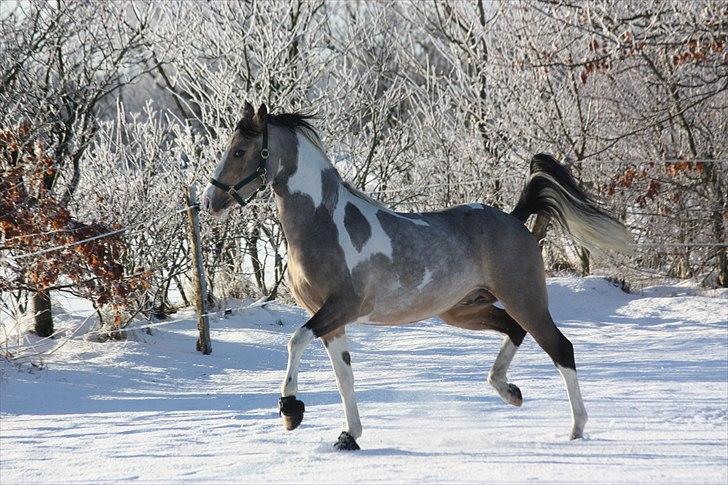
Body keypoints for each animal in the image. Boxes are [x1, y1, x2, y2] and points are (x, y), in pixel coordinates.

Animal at [203, 102, 632, 450]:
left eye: (240, 151)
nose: (210, 202)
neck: (323, 222)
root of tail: (513, 219)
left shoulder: (341, 307)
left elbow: (295, 341)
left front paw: (291, 410)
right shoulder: (330, 320)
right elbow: (344, 376)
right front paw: (349, 435)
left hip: (524, 298)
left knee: (561, 348)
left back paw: (576, 429)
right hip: (462, 310)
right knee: (514, 331)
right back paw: (509, 391)